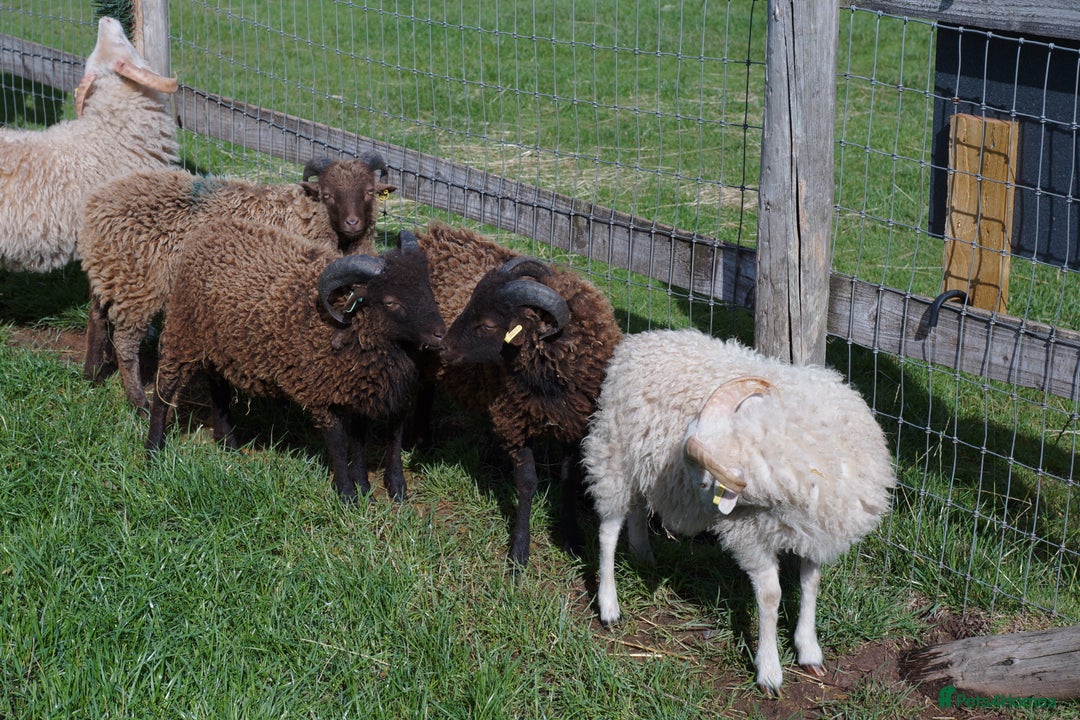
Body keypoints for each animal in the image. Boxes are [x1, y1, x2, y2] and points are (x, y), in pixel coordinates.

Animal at [79, 152, 394, 413]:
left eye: (369, 191)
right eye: (328, 194)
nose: (353, 223)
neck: (309, 216)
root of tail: (95, 203)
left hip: (108, 273)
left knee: (96, 318)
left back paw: (91, 375)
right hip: (137, 284)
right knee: (125, 342)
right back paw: (139, 402)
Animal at [146, 219, 445, 502]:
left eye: (428, 288)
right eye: (391, 302)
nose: (440, 334)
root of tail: (207, 231)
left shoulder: (365, 391)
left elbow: (373, 440)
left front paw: (378, 490)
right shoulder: (320, 393)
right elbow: (339, 443)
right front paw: (348, 495)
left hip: (219, 346)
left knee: (218, 389)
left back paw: (229, 445)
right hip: (183, 333)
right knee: (165, 390)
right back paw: (153, 452)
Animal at [416, 222, 623, 569]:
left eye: (488, 324)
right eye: (469, 302)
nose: (444, 347)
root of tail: (433, 233)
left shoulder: (574, 424)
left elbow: (568, 478)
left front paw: (571, 539)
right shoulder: (514, 420)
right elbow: (527, 483)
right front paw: (518, 552)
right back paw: (421, 441)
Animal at [580, 328, 897, 694]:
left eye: (703, 482)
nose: (687, 521)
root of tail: (638, 343)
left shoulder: (816, 529)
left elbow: (811, 583)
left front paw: (808, 648)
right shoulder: (751, 534)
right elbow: (771, 596)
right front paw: (769, 670)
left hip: (642, 461)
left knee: (639, 506)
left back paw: (642, 553)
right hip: (613, 454)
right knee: (607, 530)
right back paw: (608, 604)